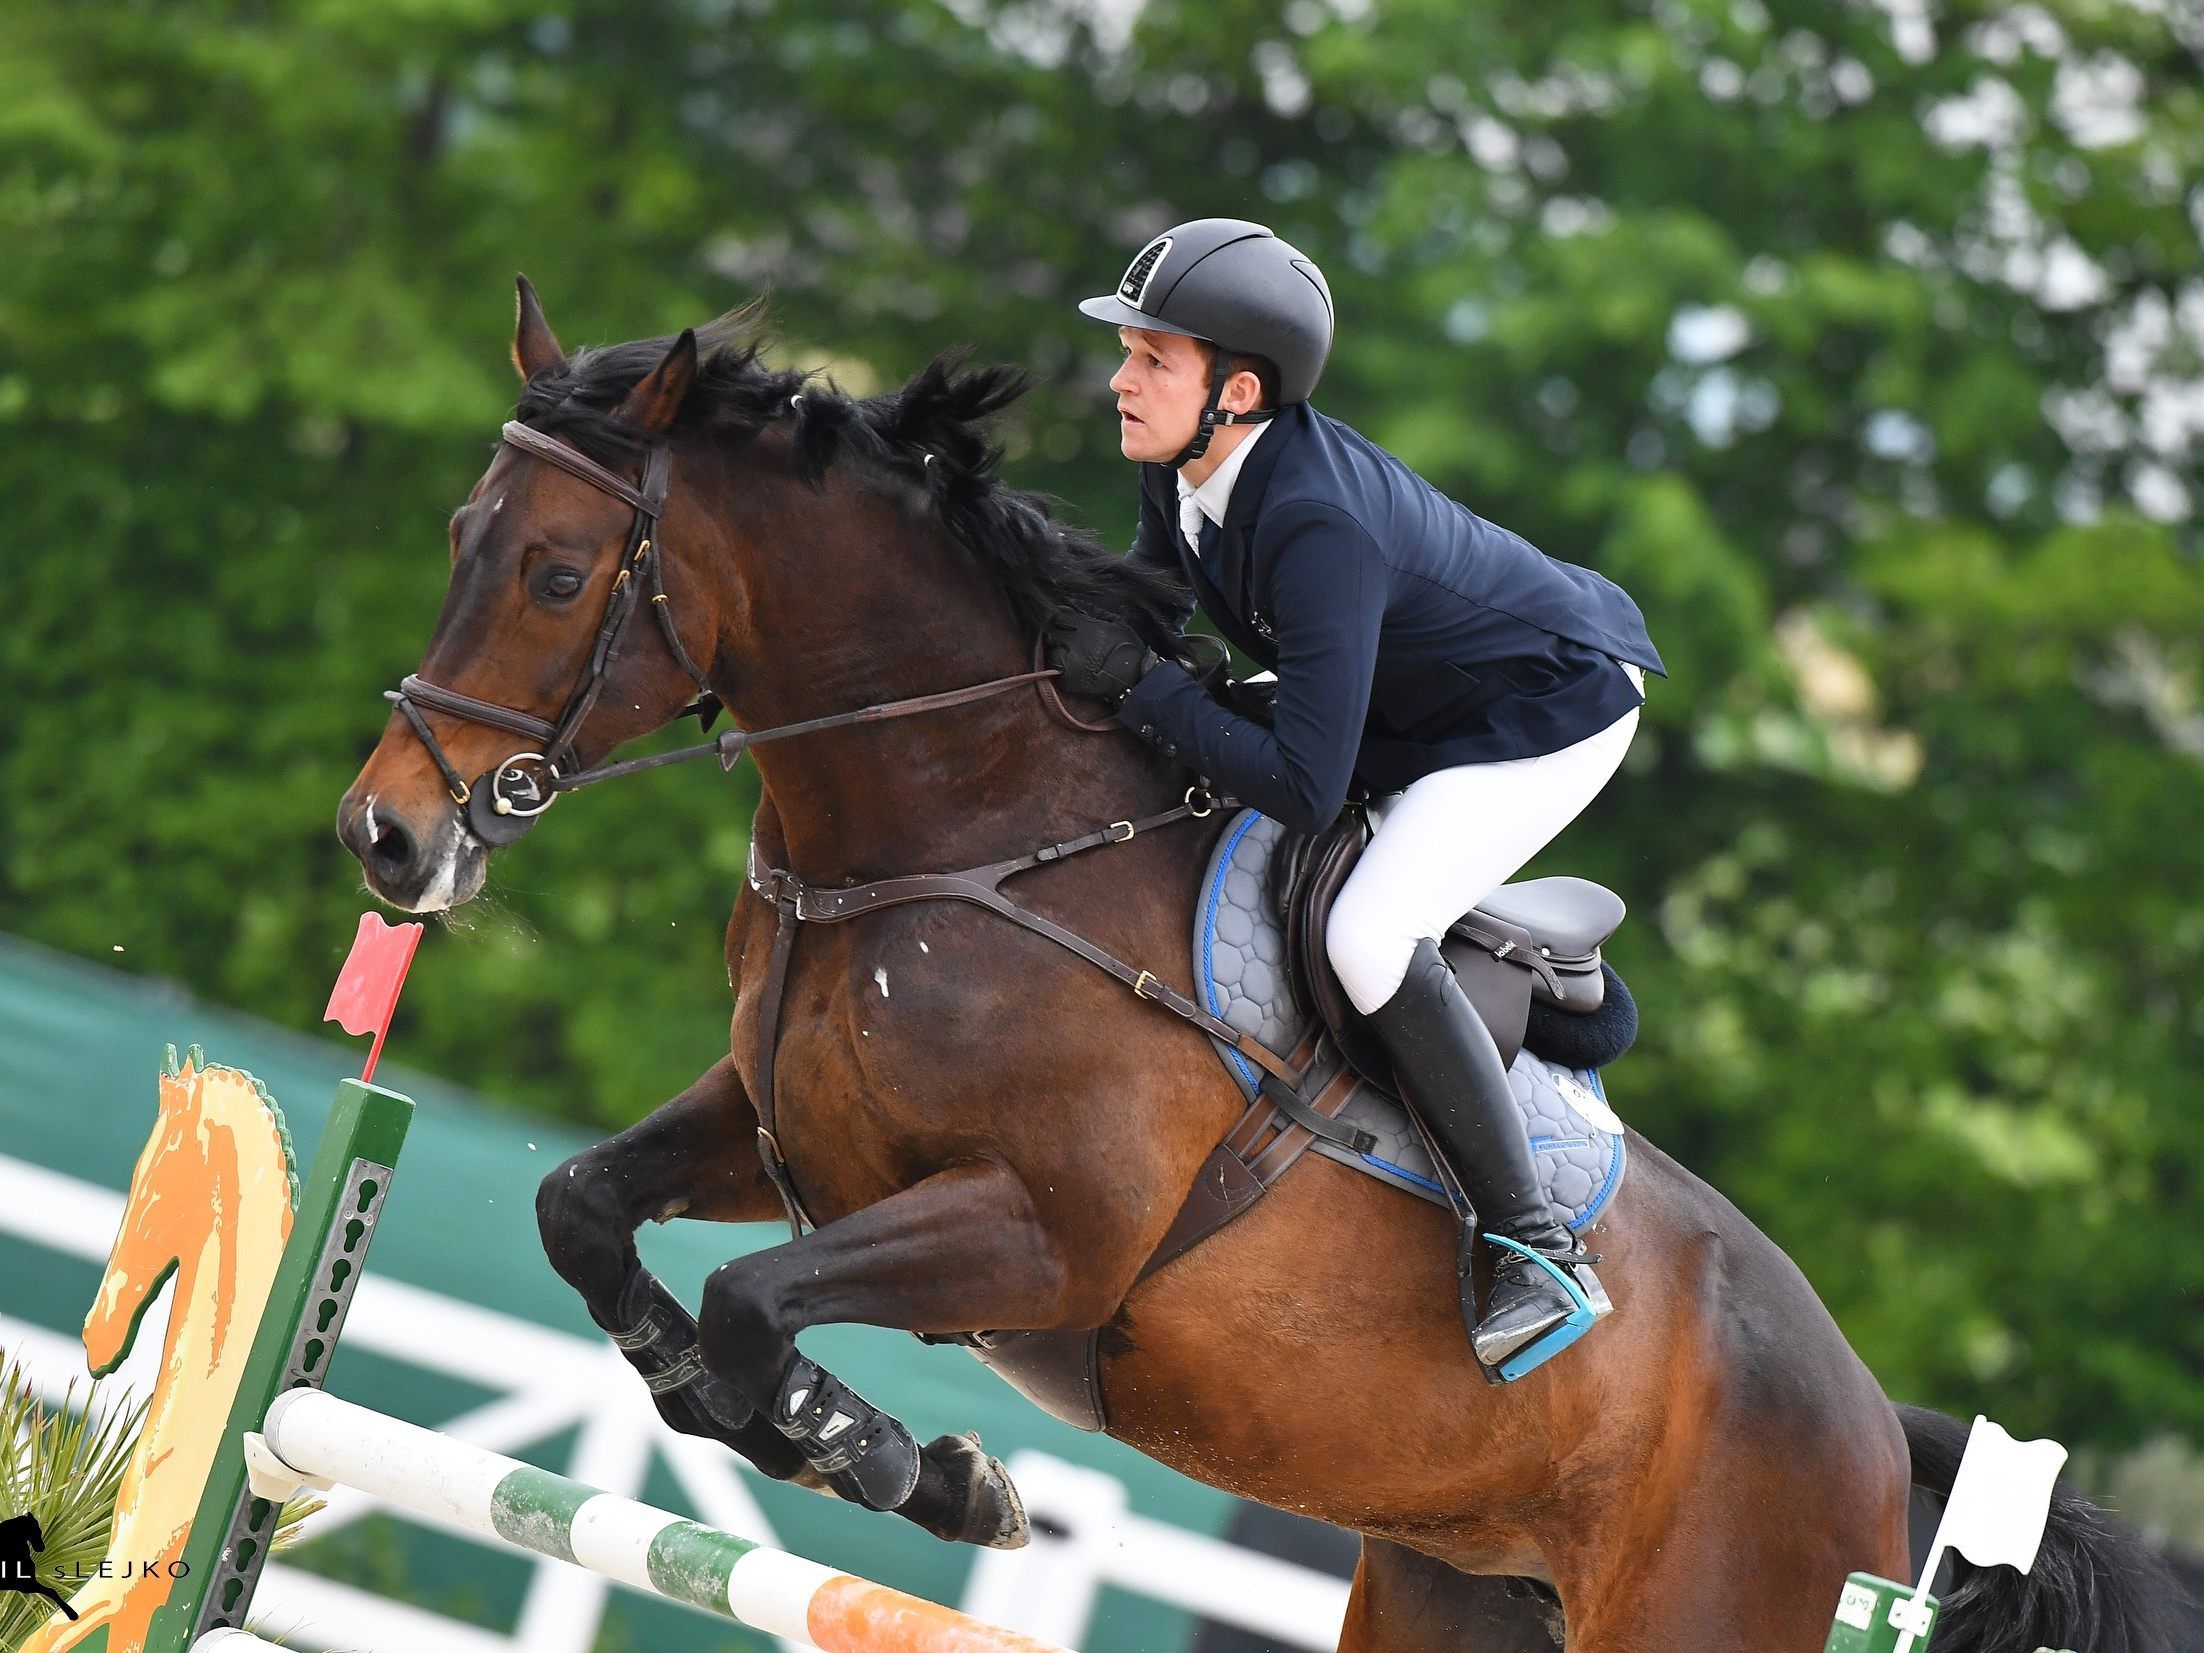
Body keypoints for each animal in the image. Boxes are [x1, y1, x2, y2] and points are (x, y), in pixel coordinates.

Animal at [335, 278, 2177, 1648]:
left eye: (557, 572)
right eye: (459, 532)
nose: (387, 840)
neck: (956, 822)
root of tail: (1879, 1431)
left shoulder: (1039, 1238)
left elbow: (749, 1301)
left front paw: (897, 1460)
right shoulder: (778, 1121)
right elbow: (584, 1208)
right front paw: (780, 1415)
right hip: (1457, 1588)